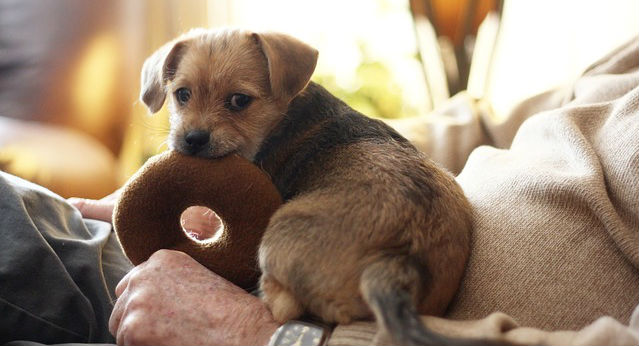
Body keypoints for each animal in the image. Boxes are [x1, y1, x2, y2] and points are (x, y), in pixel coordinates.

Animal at [141, 27, 476, 346]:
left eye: (239, 101)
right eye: (182, 94)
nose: (193, 139)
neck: (280, 120)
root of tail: (397, 261)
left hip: (275, 240)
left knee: (283, 306)